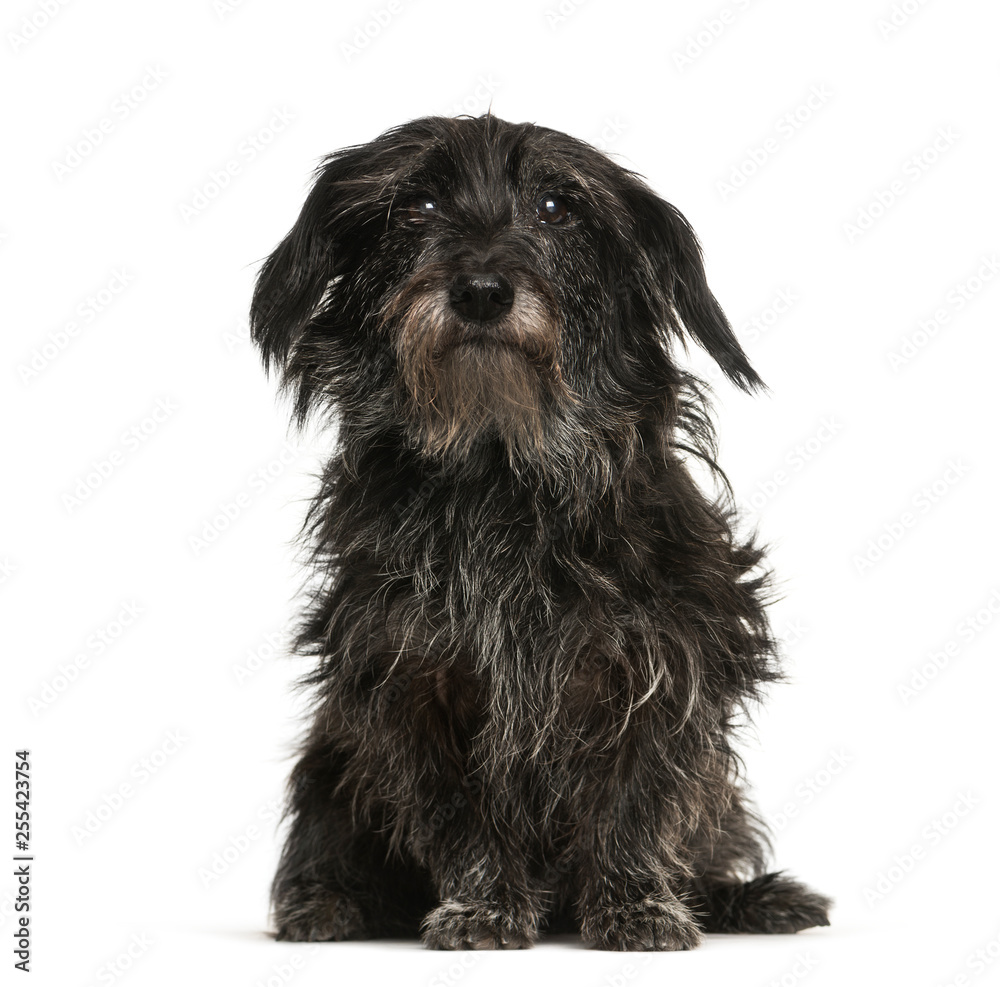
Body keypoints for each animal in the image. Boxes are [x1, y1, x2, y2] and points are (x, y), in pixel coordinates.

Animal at [250, 114, 828, 948]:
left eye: (558, 207)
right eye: (416, 205)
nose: (482, 292)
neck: (501, 467)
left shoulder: (664, 670)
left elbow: (637, 801)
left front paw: (637, 905)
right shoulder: (409, 681)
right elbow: (458, 813)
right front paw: (483, 906)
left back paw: (742, 897)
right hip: (330, 759)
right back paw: (329, 901)